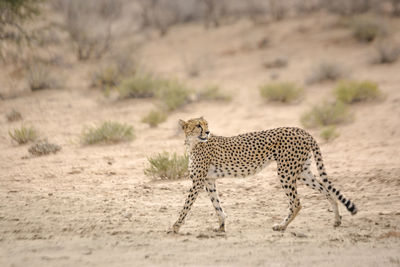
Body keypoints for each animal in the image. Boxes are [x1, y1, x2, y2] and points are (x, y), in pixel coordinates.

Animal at [170, 118, 358, 233]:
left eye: (206, 124)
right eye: (198, 125)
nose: (208, 132)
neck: (193, 143)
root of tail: (301, 130)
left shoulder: (198, 181)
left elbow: (186, 205)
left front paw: (175, 227)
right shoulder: (209, 180)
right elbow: (217, 205)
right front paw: (221, 227)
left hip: (286, 172)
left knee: (296, 202)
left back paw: (282, 226)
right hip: (302, 172)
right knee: (327, 190)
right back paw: (337, 220)